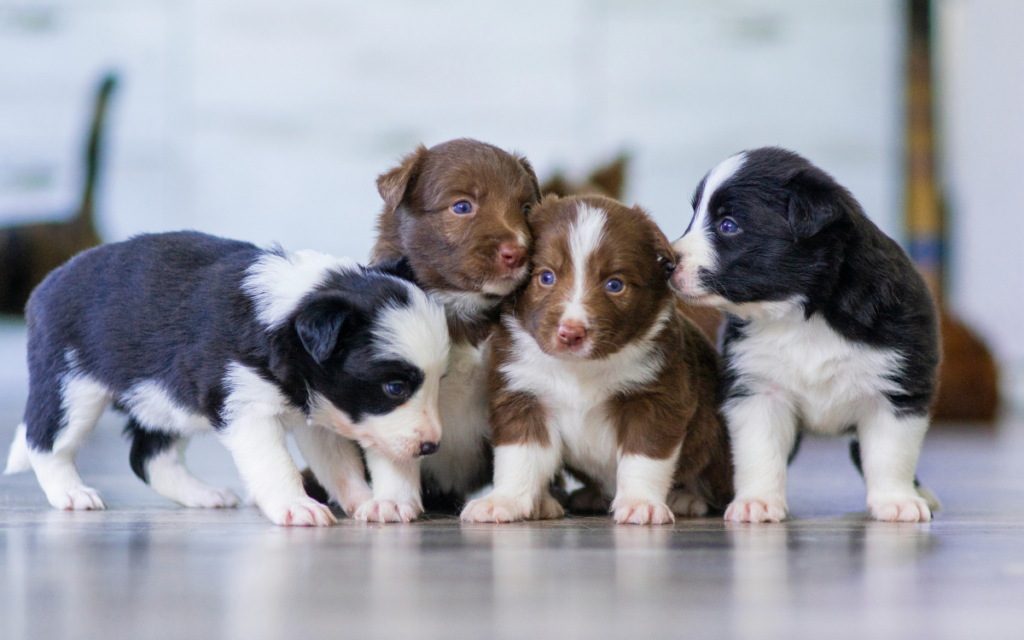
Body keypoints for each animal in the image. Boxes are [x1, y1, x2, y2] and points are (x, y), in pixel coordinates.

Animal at [2, 229, 448, 524]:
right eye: (394, 388)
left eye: (439, 382)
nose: (431, 447)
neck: (289, 315)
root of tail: (46, 284)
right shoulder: (246, 407)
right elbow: (275, 463)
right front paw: (296, 506)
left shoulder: (319, 412)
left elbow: (339, 463)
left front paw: (367, 500)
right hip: (72, 384)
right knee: (46, 441)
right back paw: (72, 493)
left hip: (164, 400)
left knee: (148, 457)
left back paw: (202, 494)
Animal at [460, 194, 733, 524]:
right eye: (546, 277)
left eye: (614, 285)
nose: (571, 333)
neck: (580, 368)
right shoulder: (522, 394)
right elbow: (519, 454)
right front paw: (503, 500)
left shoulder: (655, 396)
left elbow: (643, 457)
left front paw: (640, 503)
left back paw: (687, 498)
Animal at [671, 147, 942, 522]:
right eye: (693, 216)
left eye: (728, 225)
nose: (667, 261)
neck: (800, 315)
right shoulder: (758, 390)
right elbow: (759, 451)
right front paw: (757, 501)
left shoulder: (896, 388)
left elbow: (890, 453)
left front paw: (897, 501)